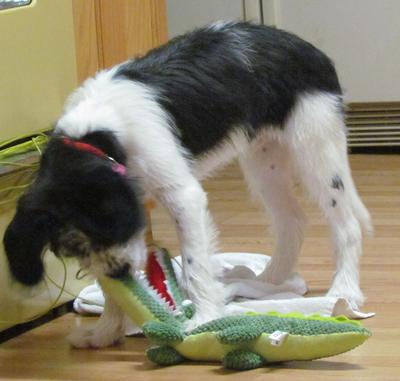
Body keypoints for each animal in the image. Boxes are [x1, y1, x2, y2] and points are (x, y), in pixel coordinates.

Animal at [3, 21, 372, 348]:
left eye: (114, 226)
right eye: (73, 247)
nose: (123, 270)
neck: (98, 134)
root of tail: (307, 48)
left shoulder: (184, 196)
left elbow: (195, 262)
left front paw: (204, 319)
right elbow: (110, 286)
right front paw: (105, 331)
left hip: (316, 147)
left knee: (345, 224)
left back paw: (344, 291)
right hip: (263, 160)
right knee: (291, 220)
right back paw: (269, 280)